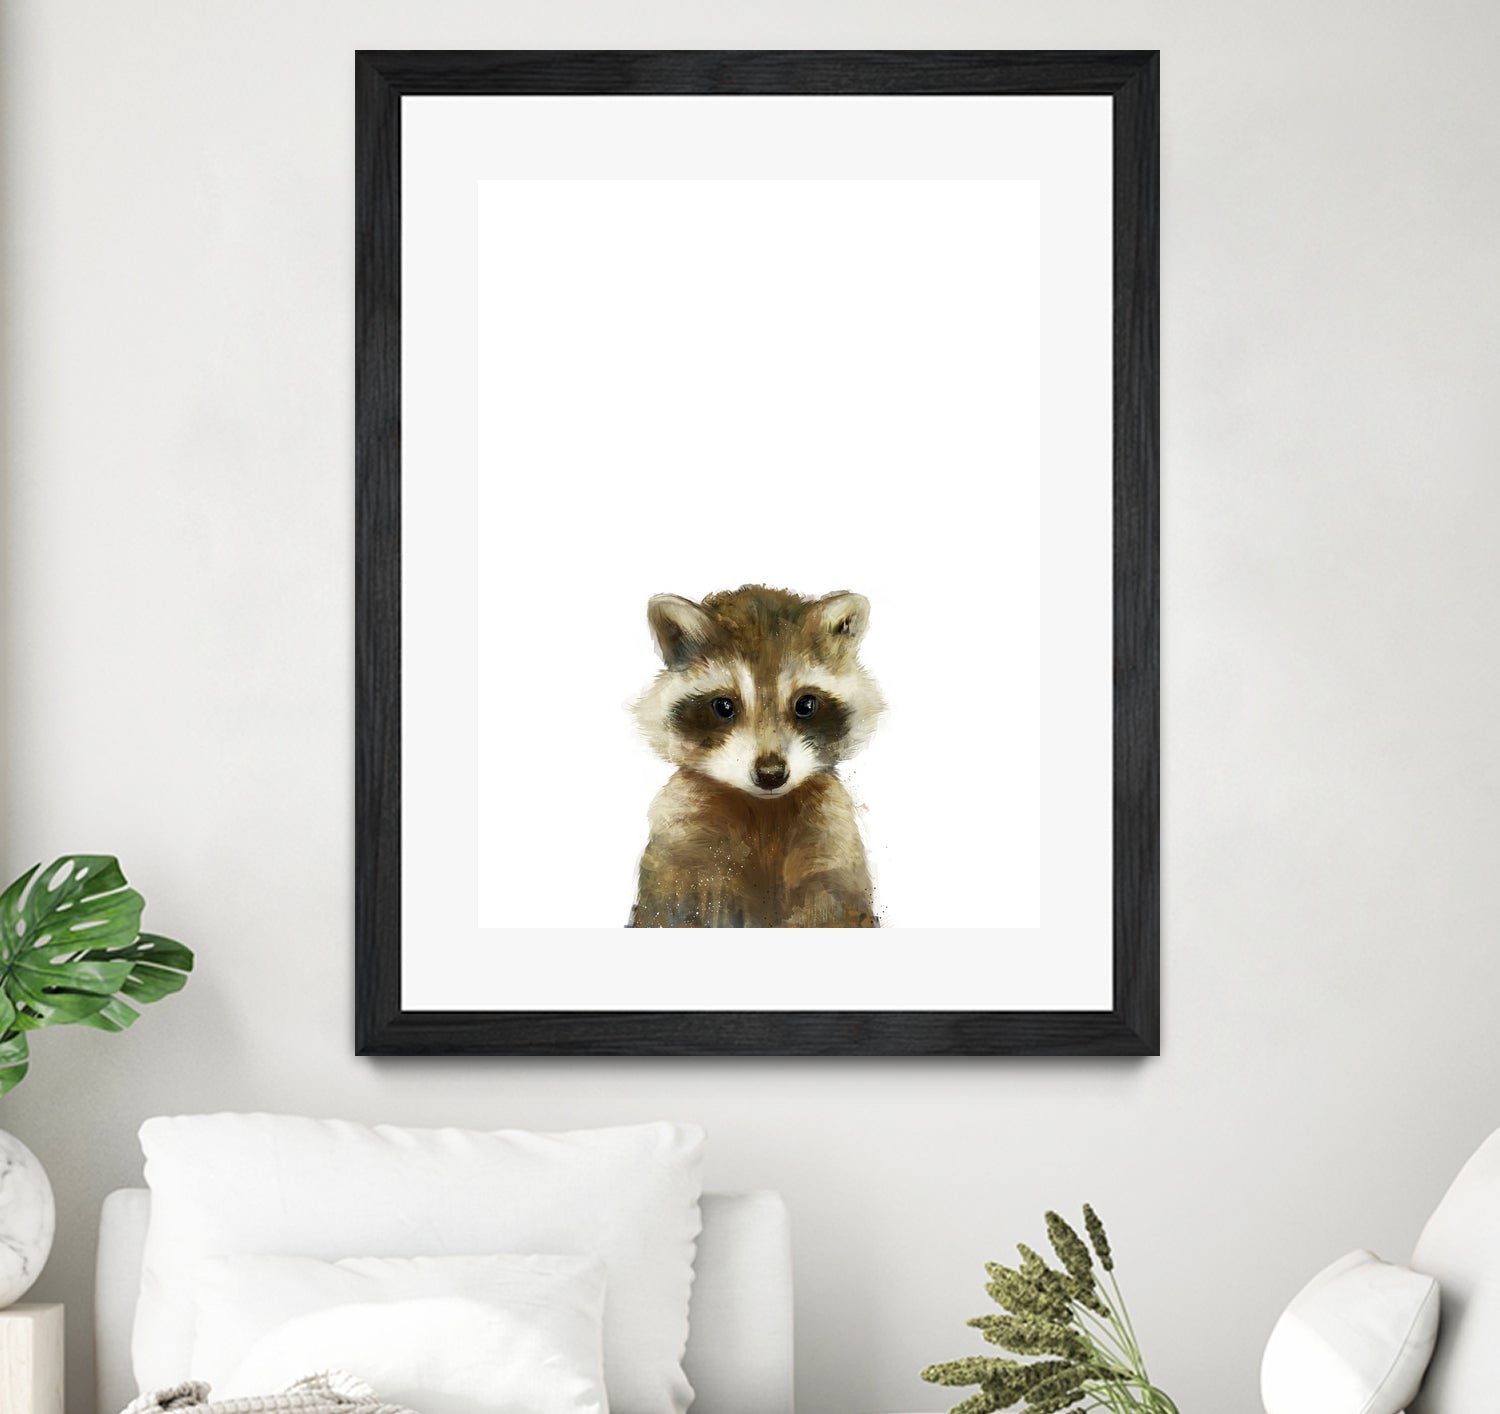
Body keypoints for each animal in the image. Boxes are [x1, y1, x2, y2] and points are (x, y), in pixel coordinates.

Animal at [630, 585, 885, 928]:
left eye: (806, 705)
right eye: (724, 706)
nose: (770, 774)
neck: (765, 810)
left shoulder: (832, 842)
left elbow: (835, 907)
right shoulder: (682, 843)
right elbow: (674, 909)